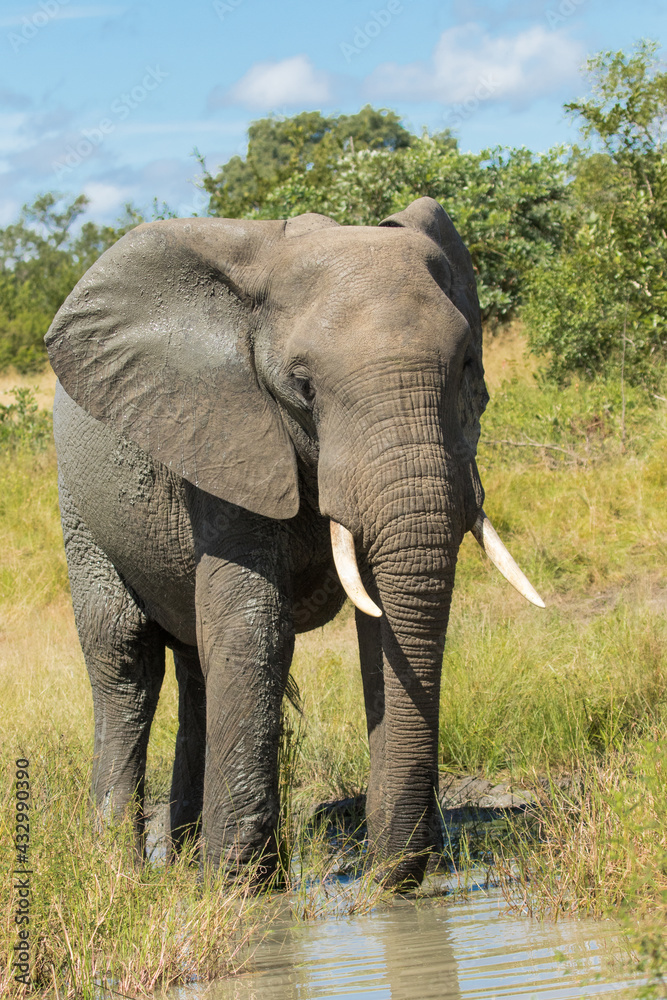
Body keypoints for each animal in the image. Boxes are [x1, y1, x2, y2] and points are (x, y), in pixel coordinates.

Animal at [46, 197, 544, 887]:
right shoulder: (224, 431)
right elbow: (256, 624)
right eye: (302, 386)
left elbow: (377, 627)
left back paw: (185, 862)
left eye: (469, 364)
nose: (389, 876)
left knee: (197, 665)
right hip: (80, 502)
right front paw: (240, 890)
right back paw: (123, 872)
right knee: (125, 659)